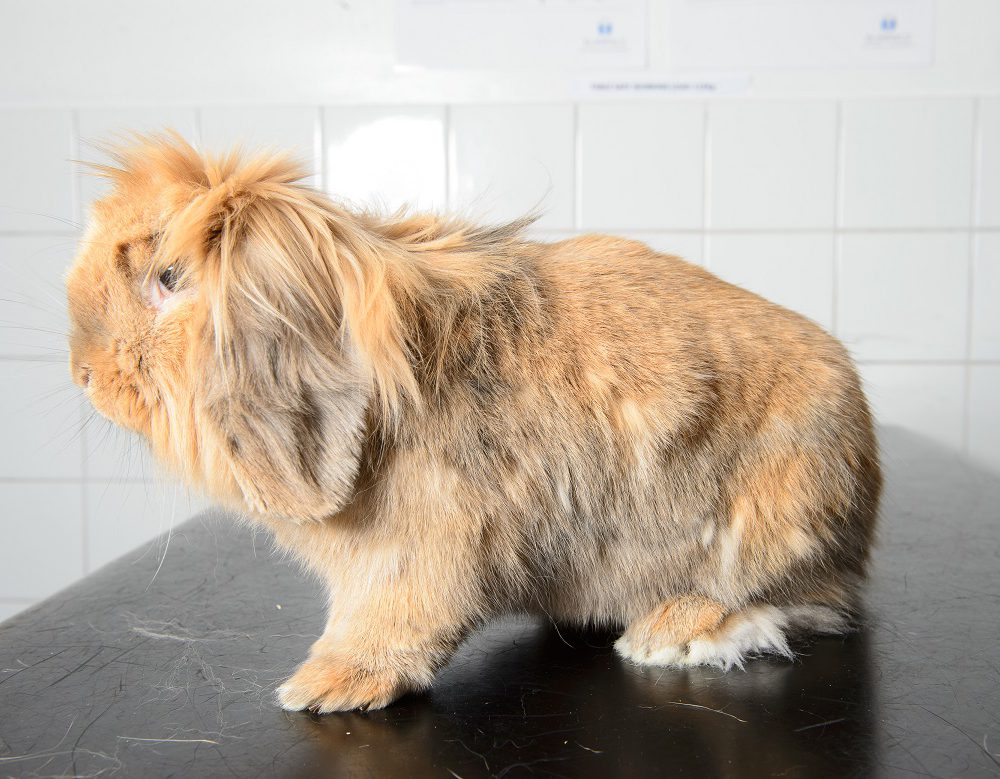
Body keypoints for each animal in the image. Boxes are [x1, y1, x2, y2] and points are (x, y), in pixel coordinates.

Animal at [68, 134, 884, 712]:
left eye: (168, 278)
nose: (83, 374)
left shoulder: (425, 546)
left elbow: (394, 618)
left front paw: (323, 688)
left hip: (776, 520)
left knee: (798, 603)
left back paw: (665, 634)